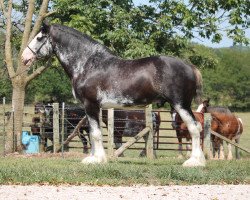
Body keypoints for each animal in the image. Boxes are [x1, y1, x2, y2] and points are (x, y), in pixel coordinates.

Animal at [21, 21, 205, 166]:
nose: (24, 57)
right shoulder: (92, 108)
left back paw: (194, 162)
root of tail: (191, 67)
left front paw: (97, 160)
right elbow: (93, 132)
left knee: (194, 128)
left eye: (39, 38)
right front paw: (94, 158)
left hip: (181, 105)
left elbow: (95, 134)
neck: (88, 64)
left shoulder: (90, 104)